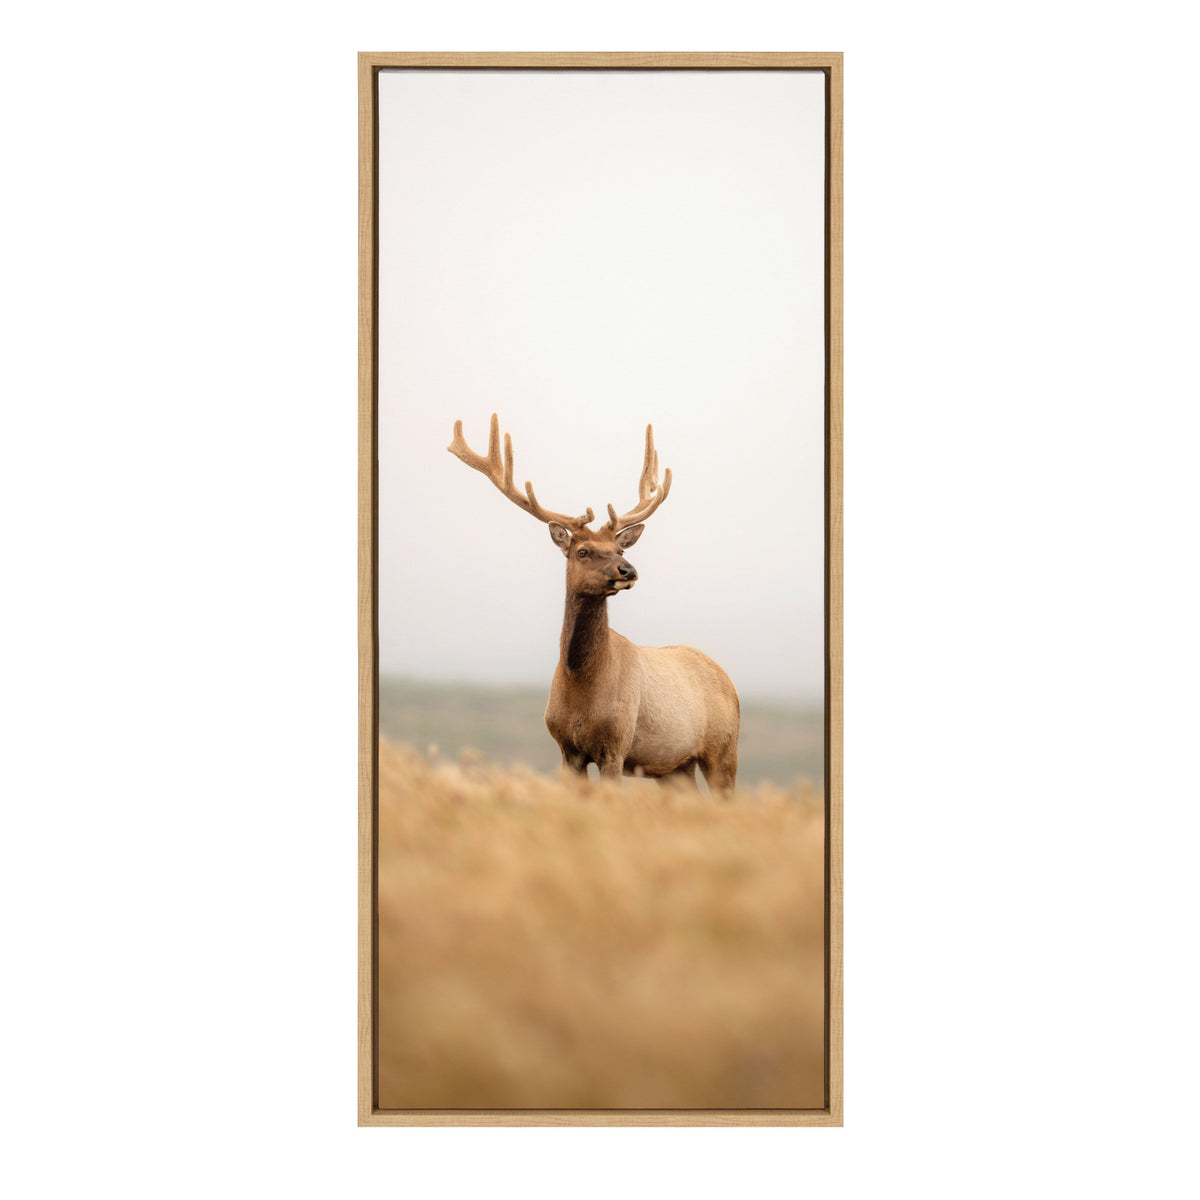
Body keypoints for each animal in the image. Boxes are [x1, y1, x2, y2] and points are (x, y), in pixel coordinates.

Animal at [448, 414, 740, 792]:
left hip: (723, 748)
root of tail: (729, 680)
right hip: (674, 766)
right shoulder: (566, 748)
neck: (581, 690)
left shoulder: (616, 744)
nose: (628, 570)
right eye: (583, 551)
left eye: (620, 549)